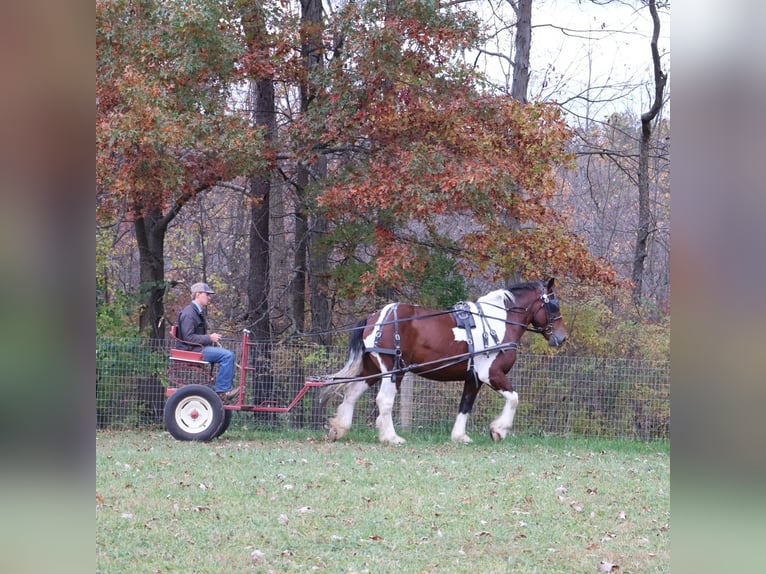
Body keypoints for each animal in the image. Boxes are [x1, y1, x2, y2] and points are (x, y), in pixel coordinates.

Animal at [321, 278, 567, 444]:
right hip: (393, 371)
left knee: (352, 393)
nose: (562, 337)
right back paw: (392, 437)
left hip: (372, 369)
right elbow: (514, 398)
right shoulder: (491, 373)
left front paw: (460, 436)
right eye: (553, 305)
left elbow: (465, 405)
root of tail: (375, 318)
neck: (498, 323)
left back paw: (340, 428)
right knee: (384, 401)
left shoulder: (473, 378)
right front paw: (499, 430)